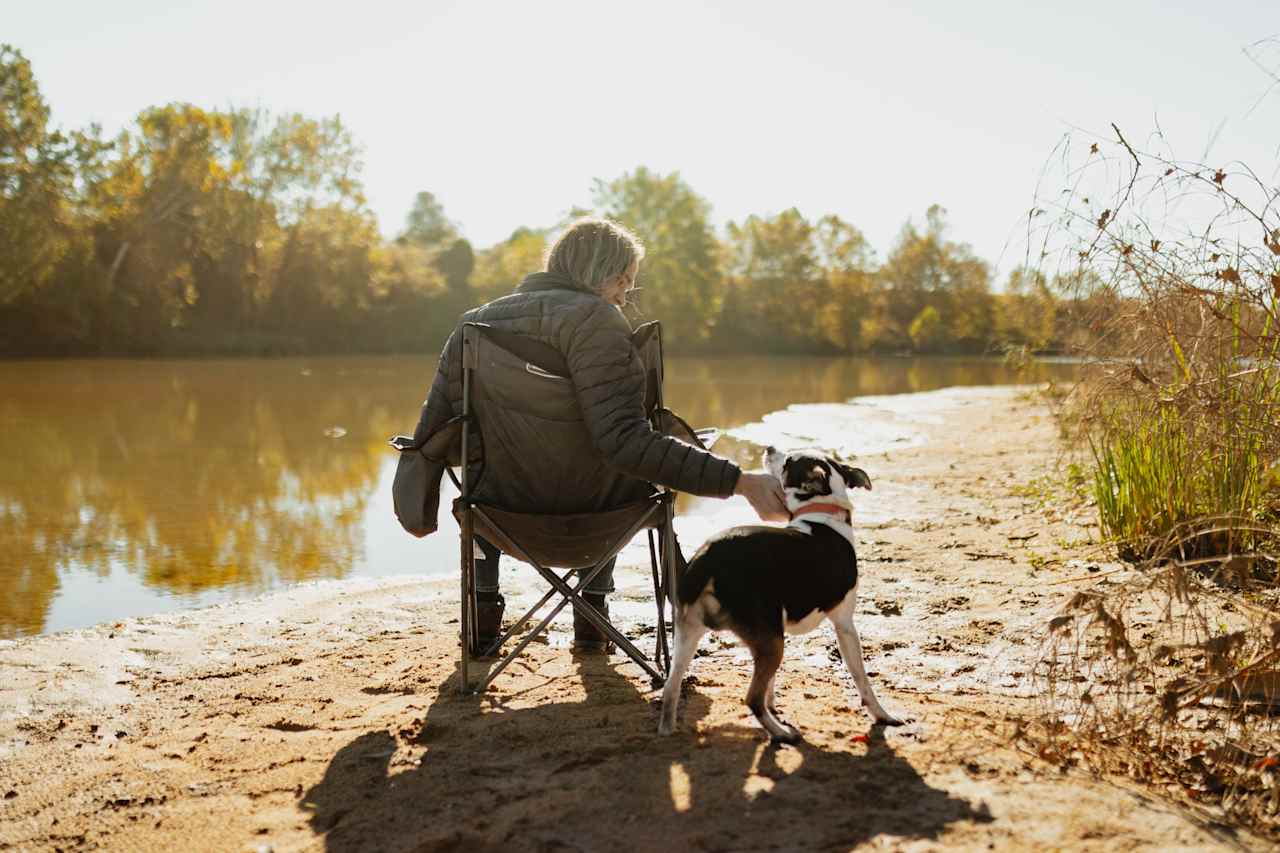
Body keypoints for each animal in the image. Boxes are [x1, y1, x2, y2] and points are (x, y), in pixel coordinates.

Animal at [660, 445, 901, 737]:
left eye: (787, 462)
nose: (769, 447)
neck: (821, 511)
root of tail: (708, 556)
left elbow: (771, 684)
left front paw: (773, 704)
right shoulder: (844, 625)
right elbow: (862, 677)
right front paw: (882, 715)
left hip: (690, 635)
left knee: (671, 687)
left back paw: (668, 728)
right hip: (772, 642)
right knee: (751, 698)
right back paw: (781, 734)